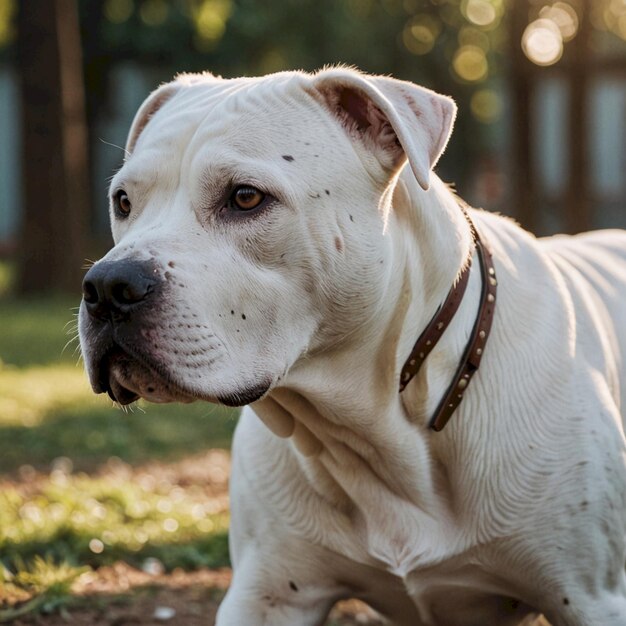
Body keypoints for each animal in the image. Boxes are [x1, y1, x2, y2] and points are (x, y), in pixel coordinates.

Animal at [78, 66, 624, 620]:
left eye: (246, 197)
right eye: (123, 201)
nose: (108, 285)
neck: (372, 427)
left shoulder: (593, 598)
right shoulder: (266, 597)